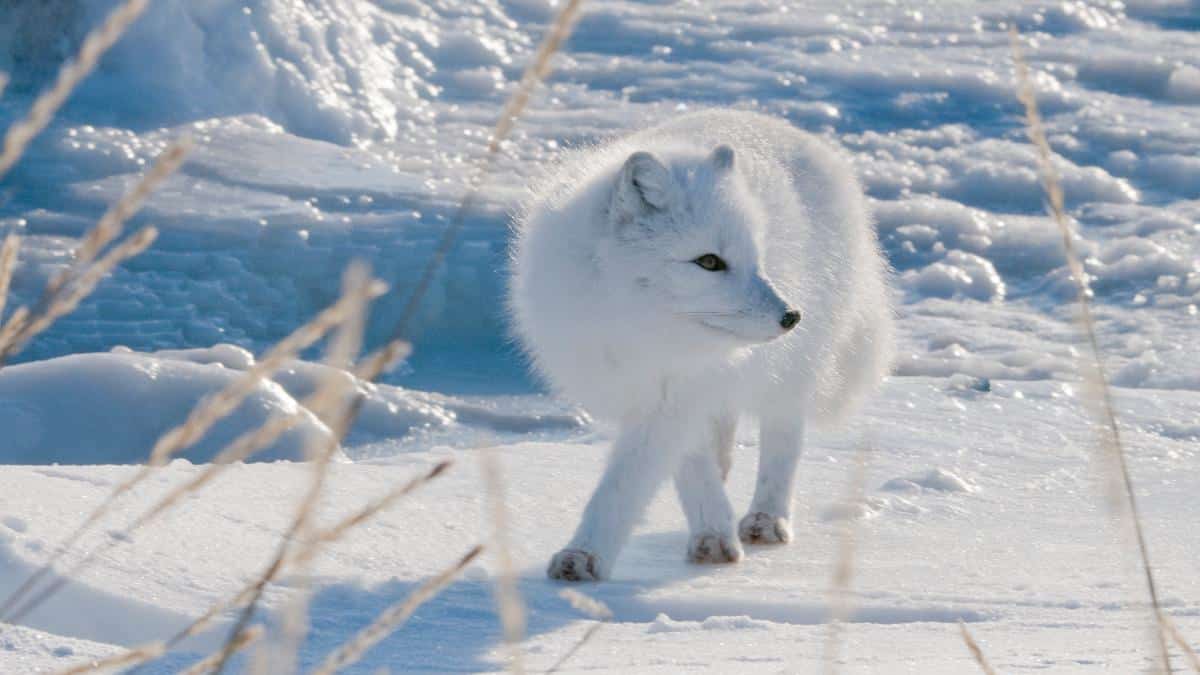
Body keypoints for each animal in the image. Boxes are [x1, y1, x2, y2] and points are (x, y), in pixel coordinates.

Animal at [508, 109, 894, 581]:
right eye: (709, 262)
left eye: (756, 260)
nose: (791, 316)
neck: (636, 326)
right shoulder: (662, 392)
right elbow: (688, 464)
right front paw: (712, 530)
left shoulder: (673, 398)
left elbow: (623, 484)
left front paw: (585, 554)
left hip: (793, 371)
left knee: (783, 439)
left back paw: (767, 518)